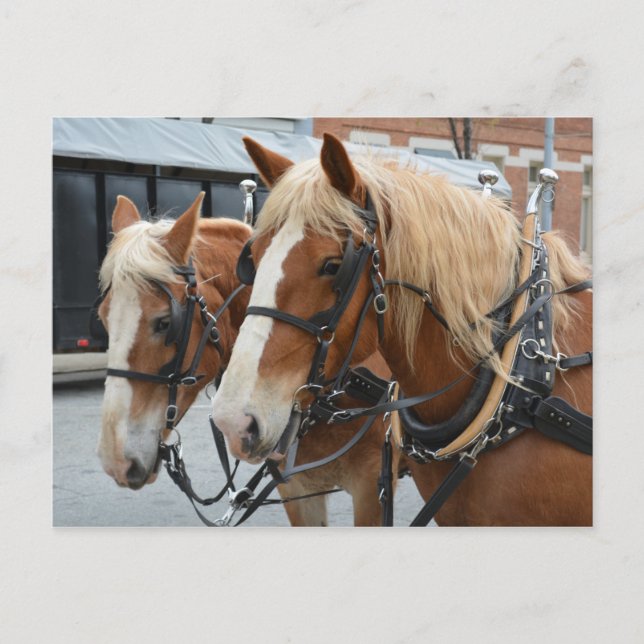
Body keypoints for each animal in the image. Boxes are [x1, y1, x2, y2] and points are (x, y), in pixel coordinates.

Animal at [212, 134, 592, 526]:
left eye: (332, 265)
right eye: (252, 258)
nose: (232, 421)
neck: (523, 375)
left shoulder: (368, 483)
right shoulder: (300, 489)